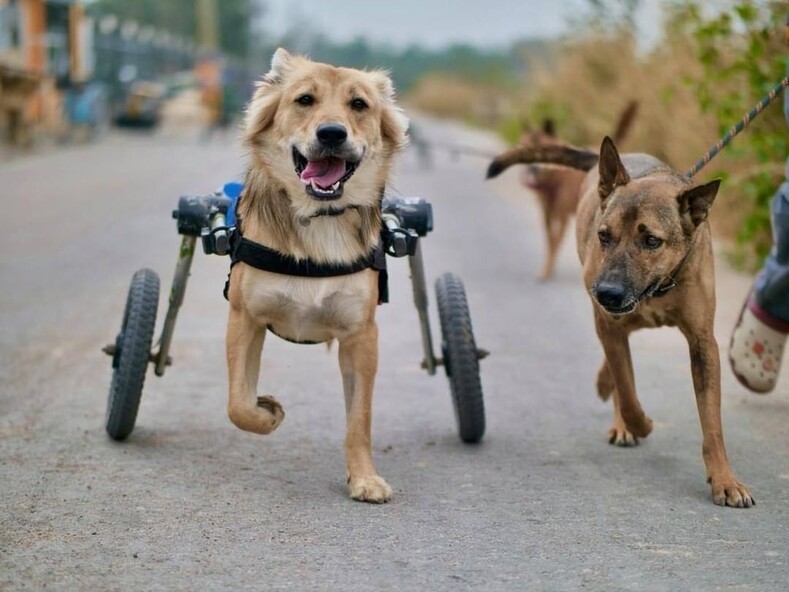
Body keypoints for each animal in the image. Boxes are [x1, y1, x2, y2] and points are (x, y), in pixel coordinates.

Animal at [222, 48, 406, 502]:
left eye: (359, 105)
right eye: (304, 100)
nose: (332, 134)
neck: (320, 220)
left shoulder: (361, 336)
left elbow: (359, 420)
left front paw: (364, 478)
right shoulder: (244, 318)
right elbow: (238, 403)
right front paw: (267, 413)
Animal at [490, 136, 756, 506]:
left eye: (652, 241)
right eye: (604, 236)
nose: (607, 293)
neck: (659, 287)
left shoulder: (703, 343)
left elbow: (712, 424)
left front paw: (725, 479)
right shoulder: (609, 323)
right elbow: (628, 395)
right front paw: (640, 422)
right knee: (618, 371)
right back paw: (618, 412)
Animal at [516, 103, 640, 280]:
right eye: (523, 145)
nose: (532, 169)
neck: (555, 177)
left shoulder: (562, 217)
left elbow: (555, 242)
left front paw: (547, 271)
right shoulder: (546, 214)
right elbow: (550, 241)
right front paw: (547, 269)